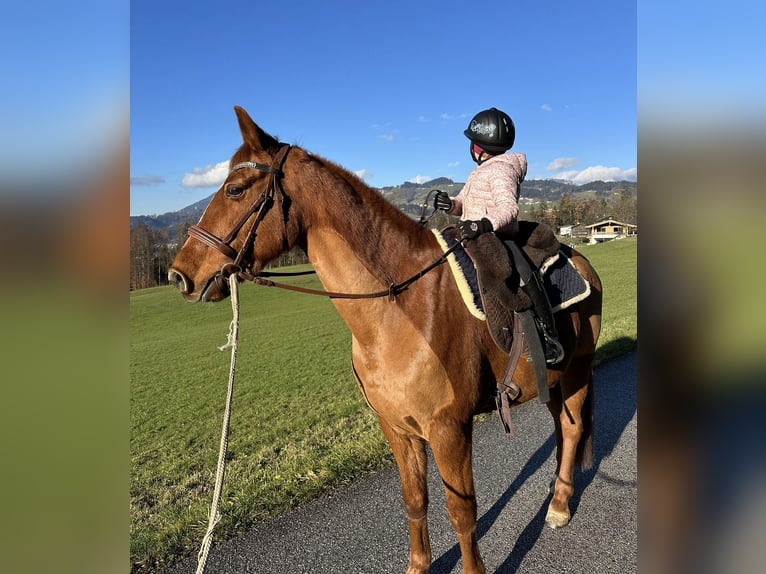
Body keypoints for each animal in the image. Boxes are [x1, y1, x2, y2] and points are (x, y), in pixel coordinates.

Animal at [170, 106, 608, 572]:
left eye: (234, 190)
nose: (180, 275)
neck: (397, 307)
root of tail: (581, 260)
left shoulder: (449, 430)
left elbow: (462, 511)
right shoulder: (397, 427)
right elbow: (415, 501)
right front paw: (418, 564)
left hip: (577, 374)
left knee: (572, 429)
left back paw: (559, 506)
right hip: (555, 381)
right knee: (562, 430)